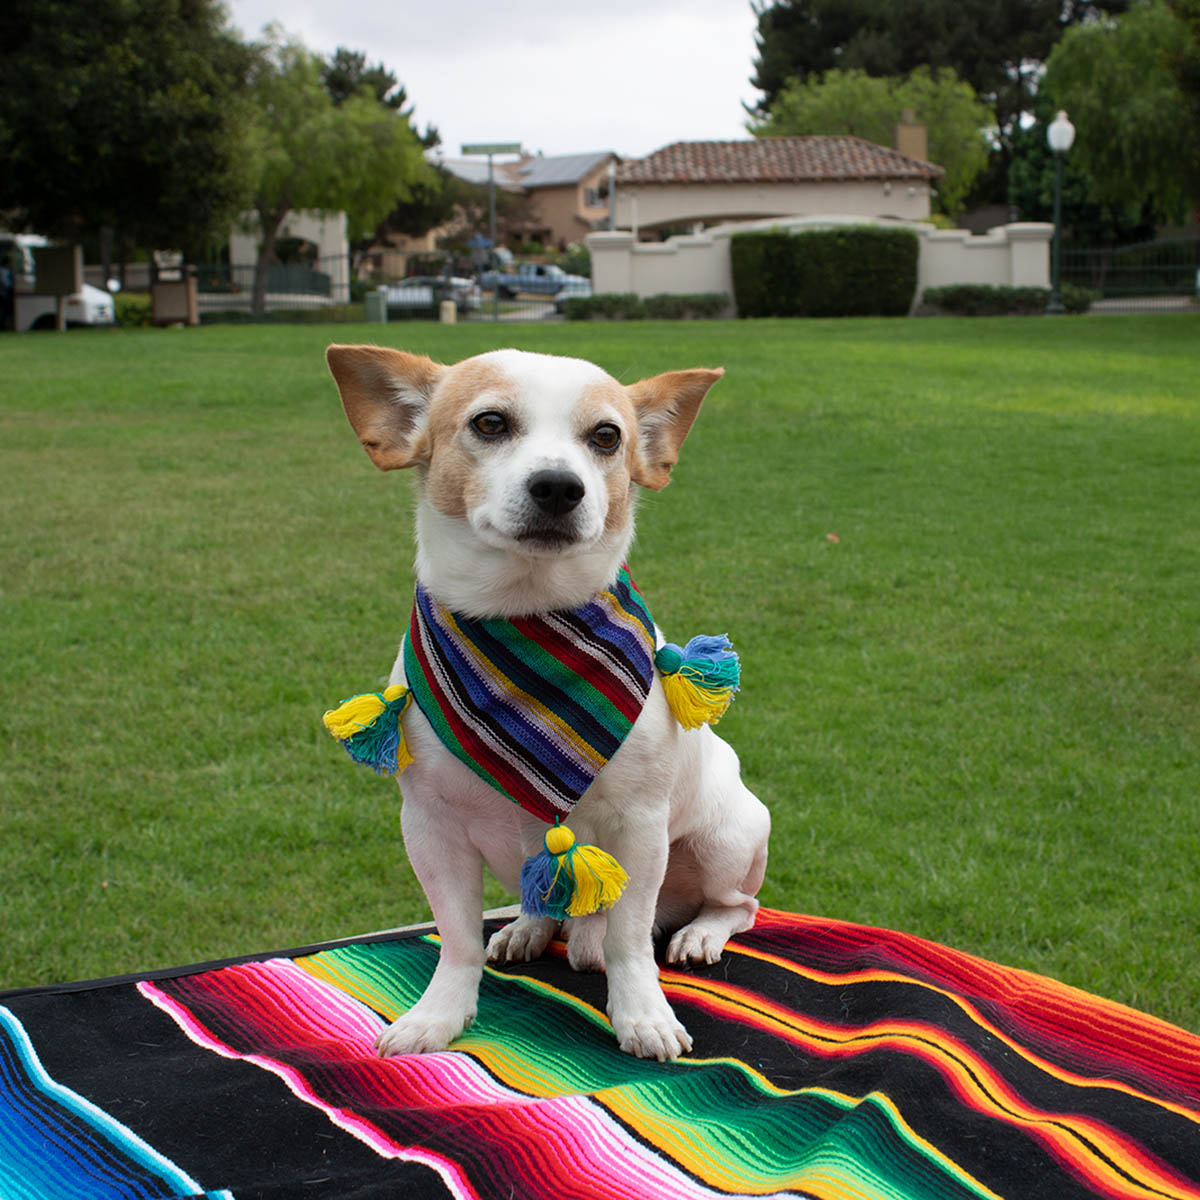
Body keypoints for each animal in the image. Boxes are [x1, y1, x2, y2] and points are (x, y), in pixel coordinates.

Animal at [324, 345, 768, 1060]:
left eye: (607, 437)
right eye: (490, 423)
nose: (560, 485)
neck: (524, 618)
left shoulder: (640, 829)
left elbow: (628, 940)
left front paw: (642, 1014)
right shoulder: (429, 828)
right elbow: (456, 938)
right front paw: (439, 1013)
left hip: (728, 839)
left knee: (735, 906)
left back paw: (700, 931)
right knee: (545, 896)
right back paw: (530, 928)